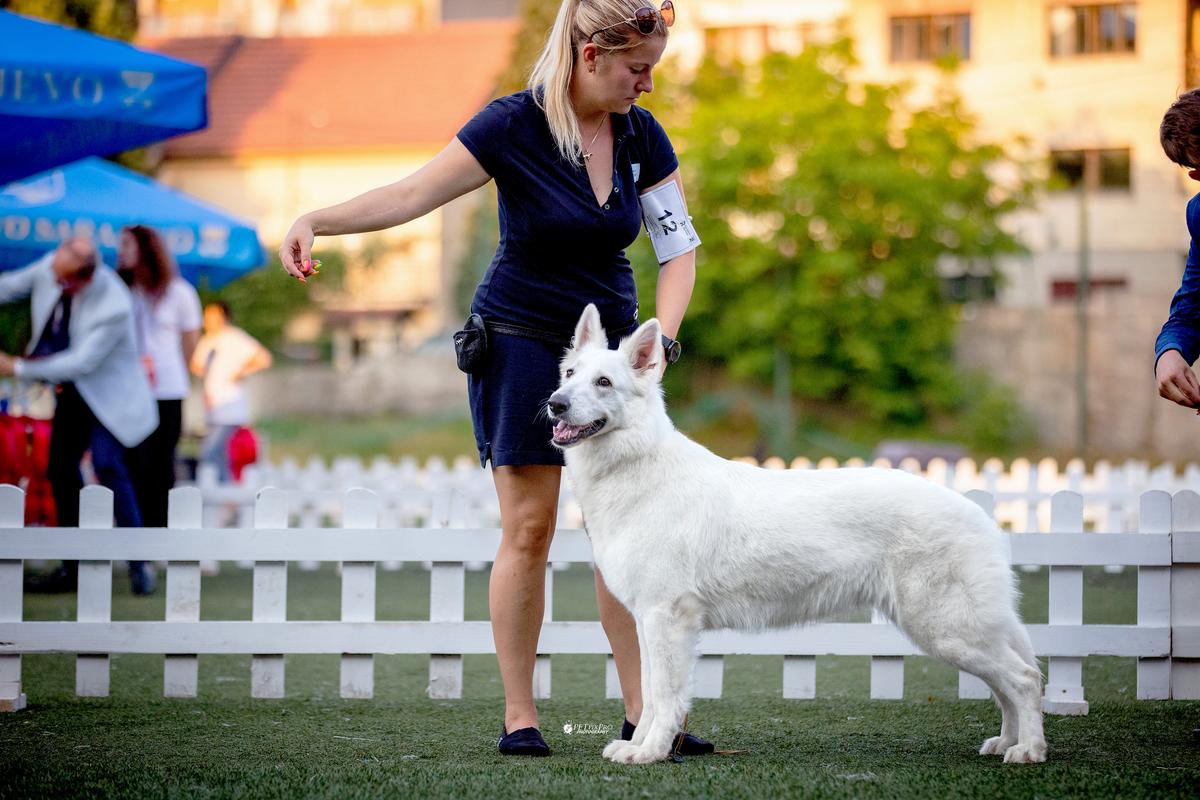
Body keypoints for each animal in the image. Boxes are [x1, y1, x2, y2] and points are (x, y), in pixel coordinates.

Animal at [549, 303, 1046, 767]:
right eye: (570, 374)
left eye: (604, 382)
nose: (554, 403)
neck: (637, 464)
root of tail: (981, 515)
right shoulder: (648, 621)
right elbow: (652, 693)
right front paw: (641, 745)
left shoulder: (666, 619)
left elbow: (665, 695)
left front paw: (650, 751)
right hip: (960, 631)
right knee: (1010, 682)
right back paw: (1007, 741)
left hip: (947, 629)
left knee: (1024, 679)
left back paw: (1029, 749)